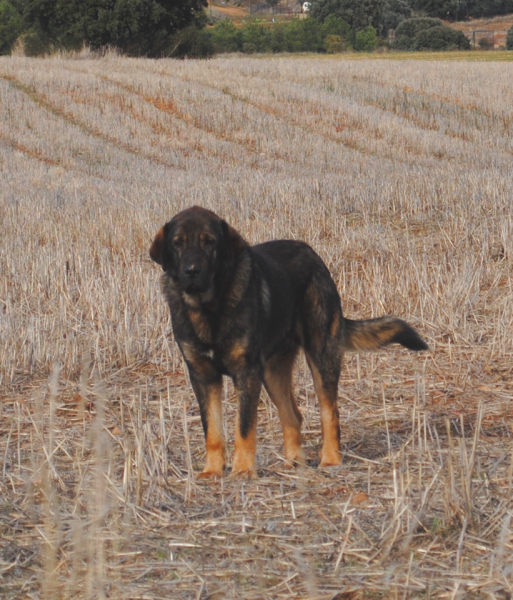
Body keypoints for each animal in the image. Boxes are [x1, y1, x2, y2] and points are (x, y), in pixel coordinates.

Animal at [149, 206, 428, 478]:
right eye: (178, 243)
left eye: (210, 242)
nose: (191, 271)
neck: (208, 308)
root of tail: (314, 256)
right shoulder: (203, 376)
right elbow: (213, 431)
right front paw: (212, 471)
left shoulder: (246, 372)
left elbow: (244, 428)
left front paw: (242, 471)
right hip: (273, 373)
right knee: (293, 416)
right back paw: (294, 462)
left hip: (321, 355)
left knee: (330, 413)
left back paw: (330, 460)